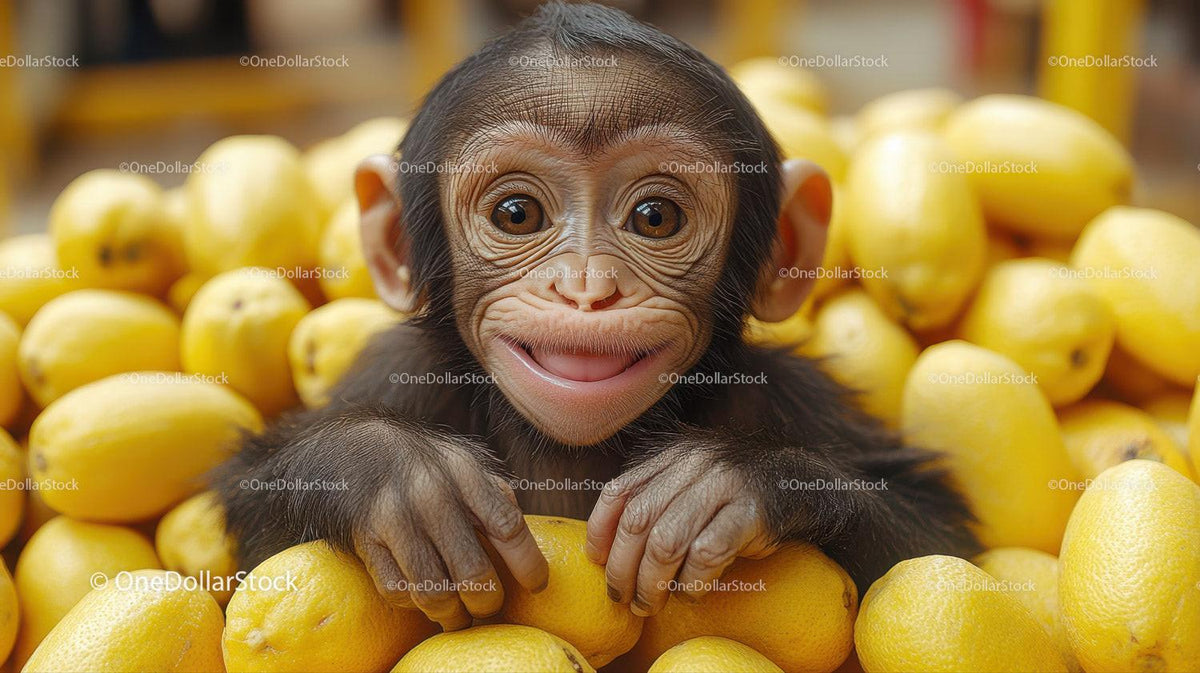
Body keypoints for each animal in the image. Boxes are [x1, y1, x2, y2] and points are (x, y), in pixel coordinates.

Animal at [213, 1, 978, 632]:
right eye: (516, 214)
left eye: (655, 217)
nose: (586, 287)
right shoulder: (395, 371)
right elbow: (254, 511)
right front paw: (399, 477)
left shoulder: (790, 392)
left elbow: (931, 535)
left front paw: (724, 480)